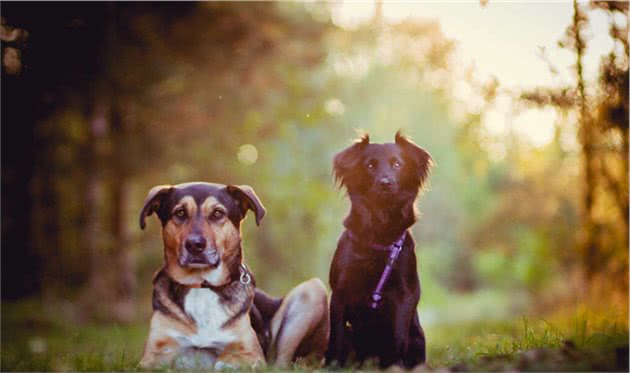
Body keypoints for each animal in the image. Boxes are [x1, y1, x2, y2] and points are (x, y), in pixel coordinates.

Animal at [139, 182, 330, 368]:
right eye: (180, 213)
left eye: (217, 213)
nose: (194, 245)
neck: (202, 285)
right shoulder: (153, 355)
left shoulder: (249, 353)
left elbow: (224, 363)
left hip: (312, 290)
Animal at [326, 130, 434, 366]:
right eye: (369, 166)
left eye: (397, 164)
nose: (386, 183)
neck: (380, 229)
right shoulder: (340, 291)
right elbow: (335, 336)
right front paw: (332, 366)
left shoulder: (405, 293)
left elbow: (397, 337)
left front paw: (394, 366)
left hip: (417, 337)